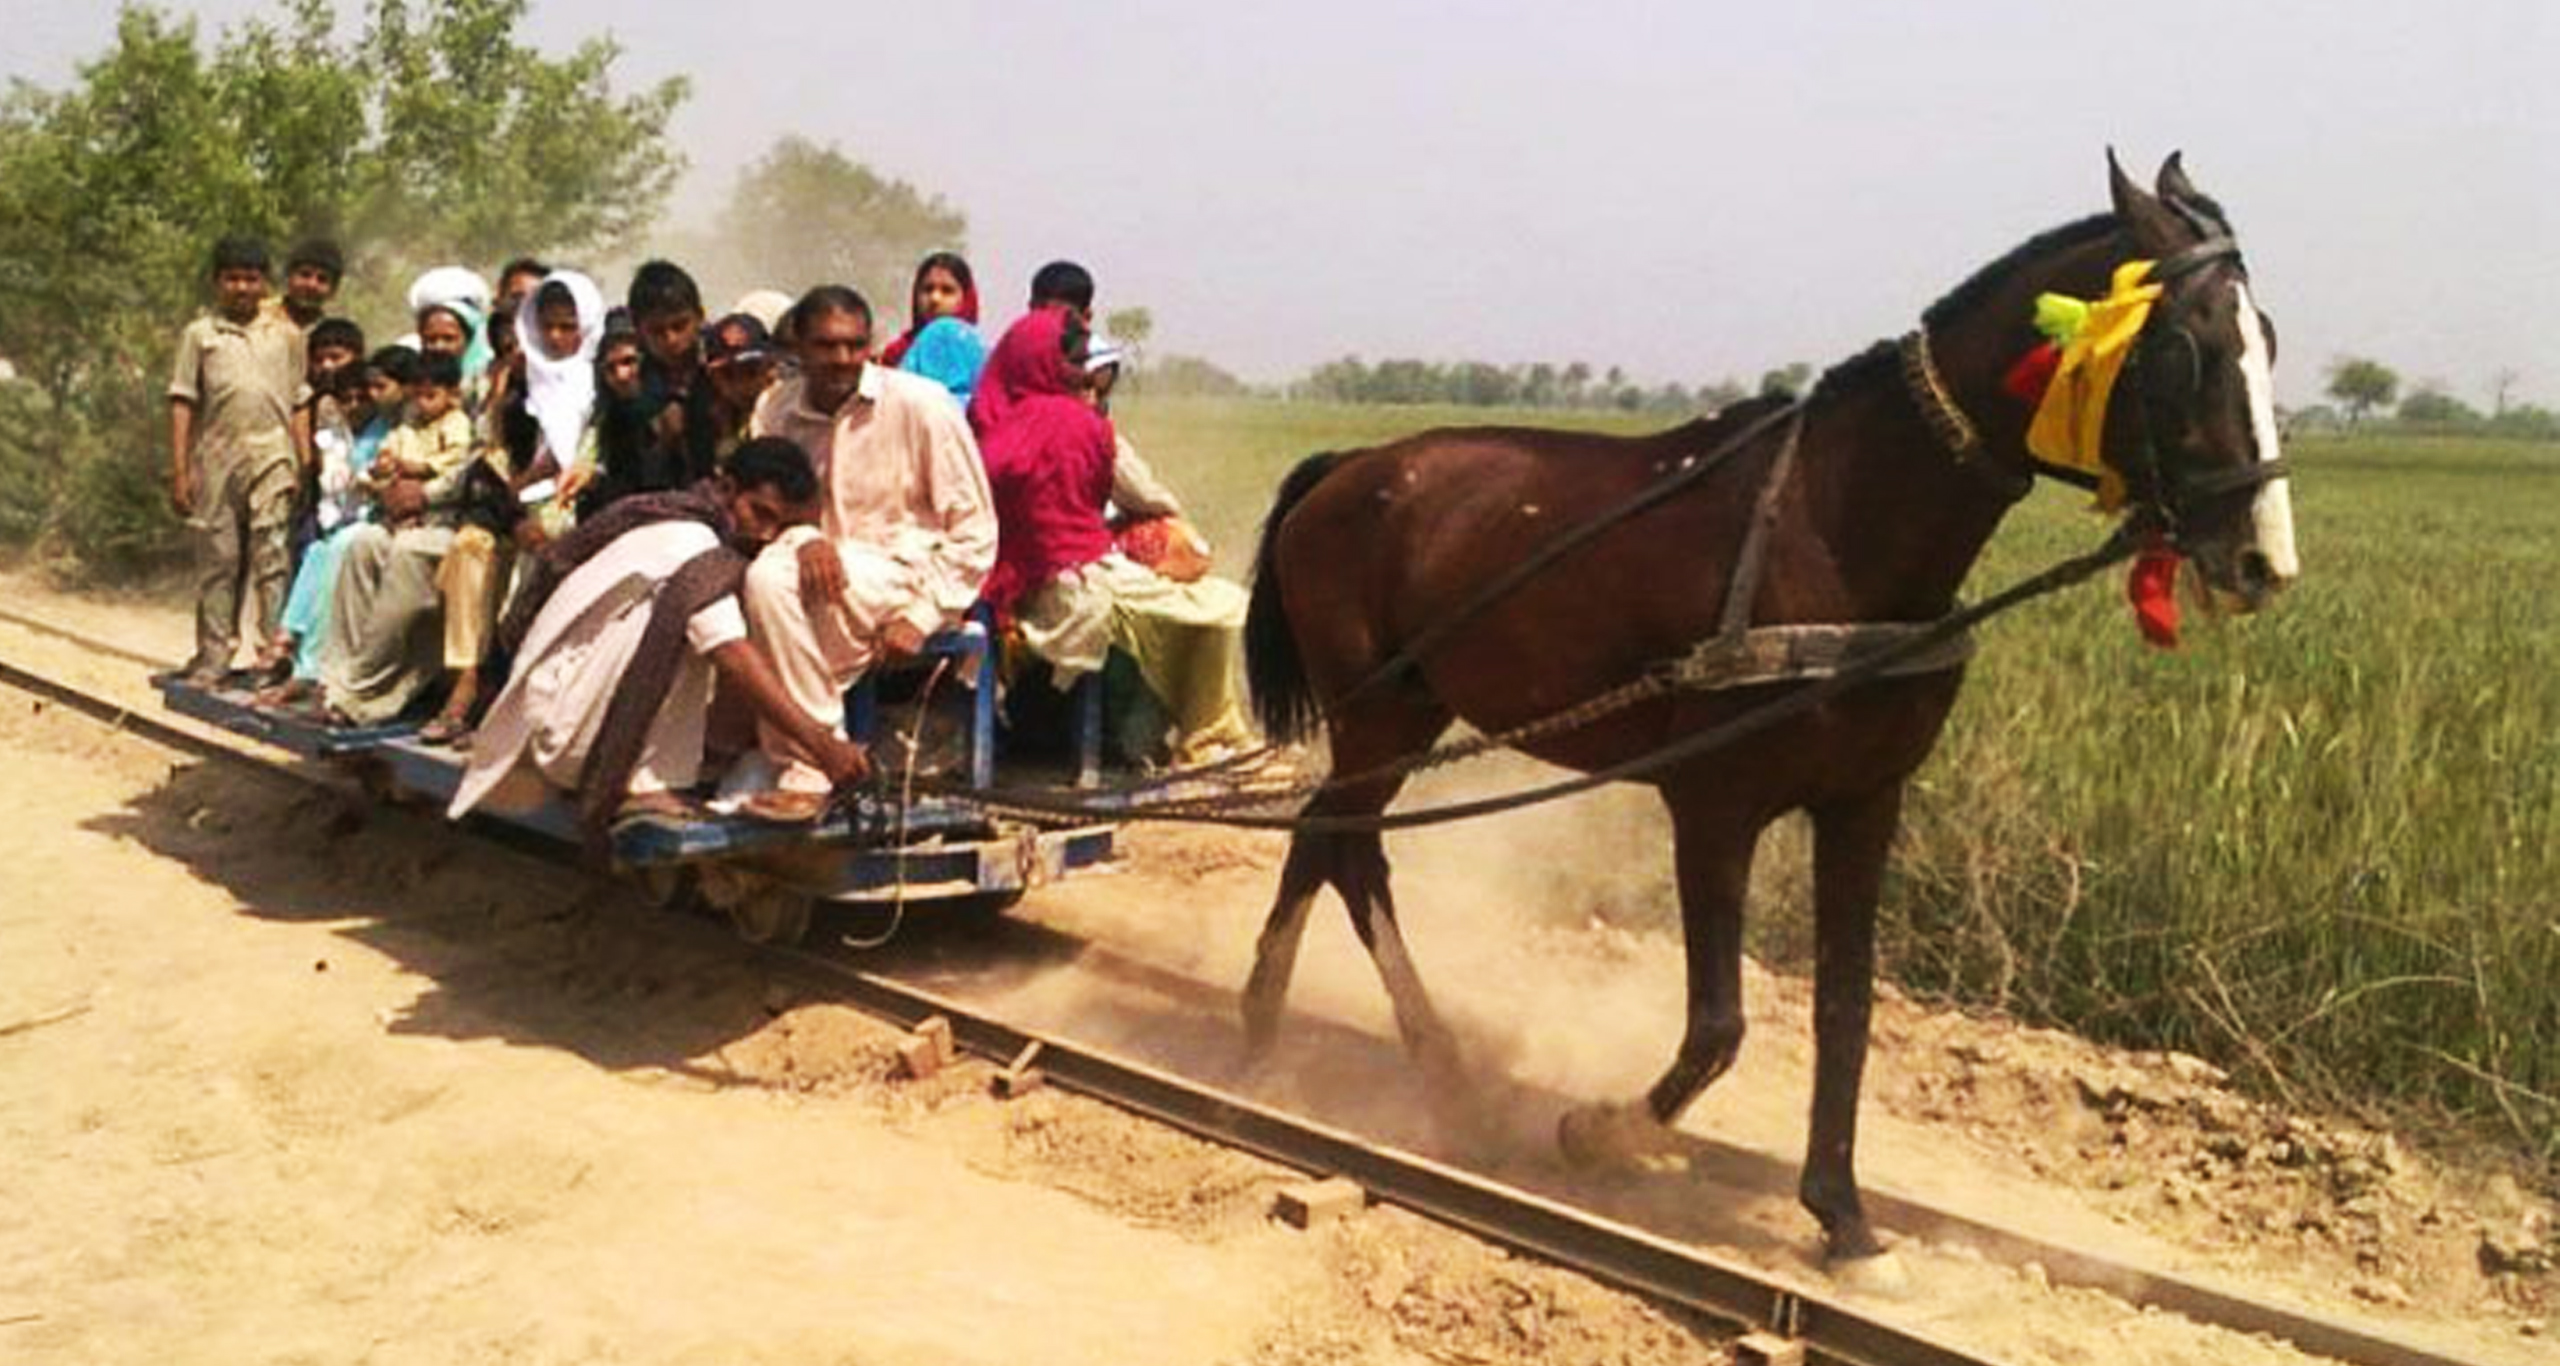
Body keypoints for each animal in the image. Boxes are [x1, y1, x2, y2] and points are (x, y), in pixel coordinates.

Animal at [1239, 152, 2304, 1273]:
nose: (2262, 561)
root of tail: (1347, 468)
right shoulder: (1714, 803)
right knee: (1349, 847)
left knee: (1327, 836)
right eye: (2185, 347)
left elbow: (1845, 1005)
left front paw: (1842, 1214)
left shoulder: (1865, 801)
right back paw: (1392, 1053)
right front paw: (1601, 1130)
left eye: (2267, 339)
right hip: (1380, 714)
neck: (1835, 530)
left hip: (1403, 714)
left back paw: (1306, 1035)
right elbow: (1719, 1022)